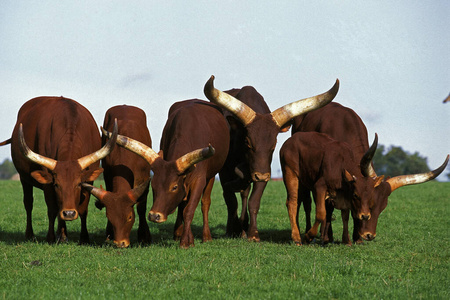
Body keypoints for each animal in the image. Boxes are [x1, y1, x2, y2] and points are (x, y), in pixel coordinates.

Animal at [0, 97, 116, 243]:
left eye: (78, 184)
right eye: (56, 185)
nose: (69, 213)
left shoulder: (89, 180)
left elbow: (83, 209)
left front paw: (83, 237)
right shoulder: (48, 183)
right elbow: (52, 209)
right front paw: (50, 237)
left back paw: (63, 235)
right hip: (23, 178)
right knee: (28, 203)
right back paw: (31, 234)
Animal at [83, 104, 155, 247]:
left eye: (129, 217)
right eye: (109, 217)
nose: (120, 243)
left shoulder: (144, 179)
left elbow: (141, 208)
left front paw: (144, 236)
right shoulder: (108, 176)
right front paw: (109, 234)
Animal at [102, 99, 229, 247]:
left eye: (174, 187)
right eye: (153, 186)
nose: (154, 216)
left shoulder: (199, 179)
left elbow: (189, 210)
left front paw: (185, 242)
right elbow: (183, 207)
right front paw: (186, 238)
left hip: (212, 175)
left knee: (205, 203)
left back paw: (206, 236)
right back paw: (178, 233)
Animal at [203, 75, 338, 241]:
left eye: (274, 143)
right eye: (247, 141)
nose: (259, 175)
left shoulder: (263, 171)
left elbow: (254, 201)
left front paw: (253, 233)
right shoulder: (225, 171)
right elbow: (231, 200)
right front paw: (232, 230)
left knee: (245, 194)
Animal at [294, 102, 448, 243]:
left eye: (382, 207)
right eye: (371, 204)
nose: (369, 235)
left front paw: (356, 238)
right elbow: (329, 208)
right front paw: (327, 237)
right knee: (306, 202)